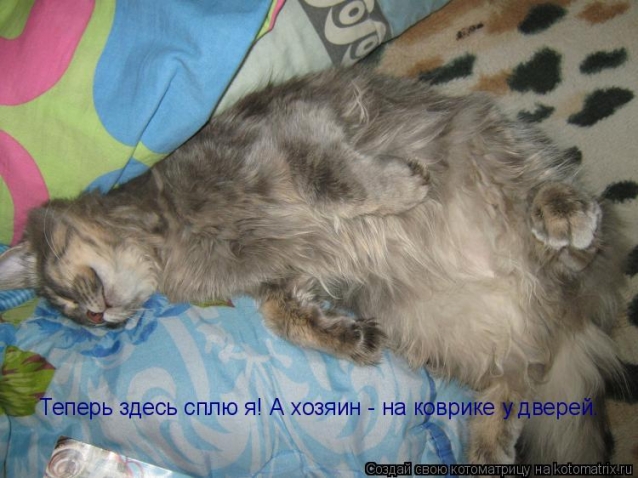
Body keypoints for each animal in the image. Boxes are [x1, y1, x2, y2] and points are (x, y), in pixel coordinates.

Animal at [0, 66, 627, 468]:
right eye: (71, 315)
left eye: (65, 294)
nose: (97, 319)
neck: (171, 229)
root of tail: (566, 323)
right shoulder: (288, 275)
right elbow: (284, 316)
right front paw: (347, 337)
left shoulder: (288, 135)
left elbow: (336, 184)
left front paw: (404, 187)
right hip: (445, 332)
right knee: (513, 383)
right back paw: (487, 446)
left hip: (494, 150)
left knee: (570, 218)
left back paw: (562, 213)